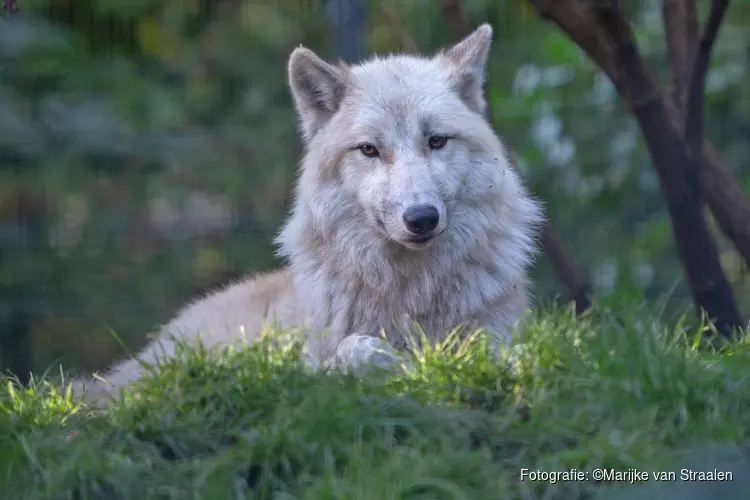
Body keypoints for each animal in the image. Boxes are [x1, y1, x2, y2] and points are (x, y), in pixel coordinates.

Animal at [72, 25, 548, 404]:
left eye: (436, 141)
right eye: (369, 150)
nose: (421, 218)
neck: (410, 292)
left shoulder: (500, 329)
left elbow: (504, 350)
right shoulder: (318, 355)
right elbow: (351, 350)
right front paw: (386, 362)